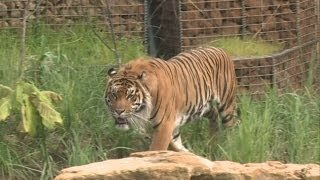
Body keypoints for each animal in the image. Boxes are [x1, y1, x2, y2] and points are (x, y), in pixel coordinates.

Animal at [105, 46, 238, 152]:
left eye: (130, 96)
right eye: (114, 95)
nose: (118, 111)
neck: (143, 112)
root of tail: (219, 49)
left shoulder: (164, 125)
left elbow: (156, 150)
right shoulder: (170, 128)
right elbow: (178, 147)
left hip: (226, 104)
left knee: (231, 125)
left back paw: (229, 145)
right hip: (202, 106)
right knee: (214, 114)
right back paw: (213, 141)